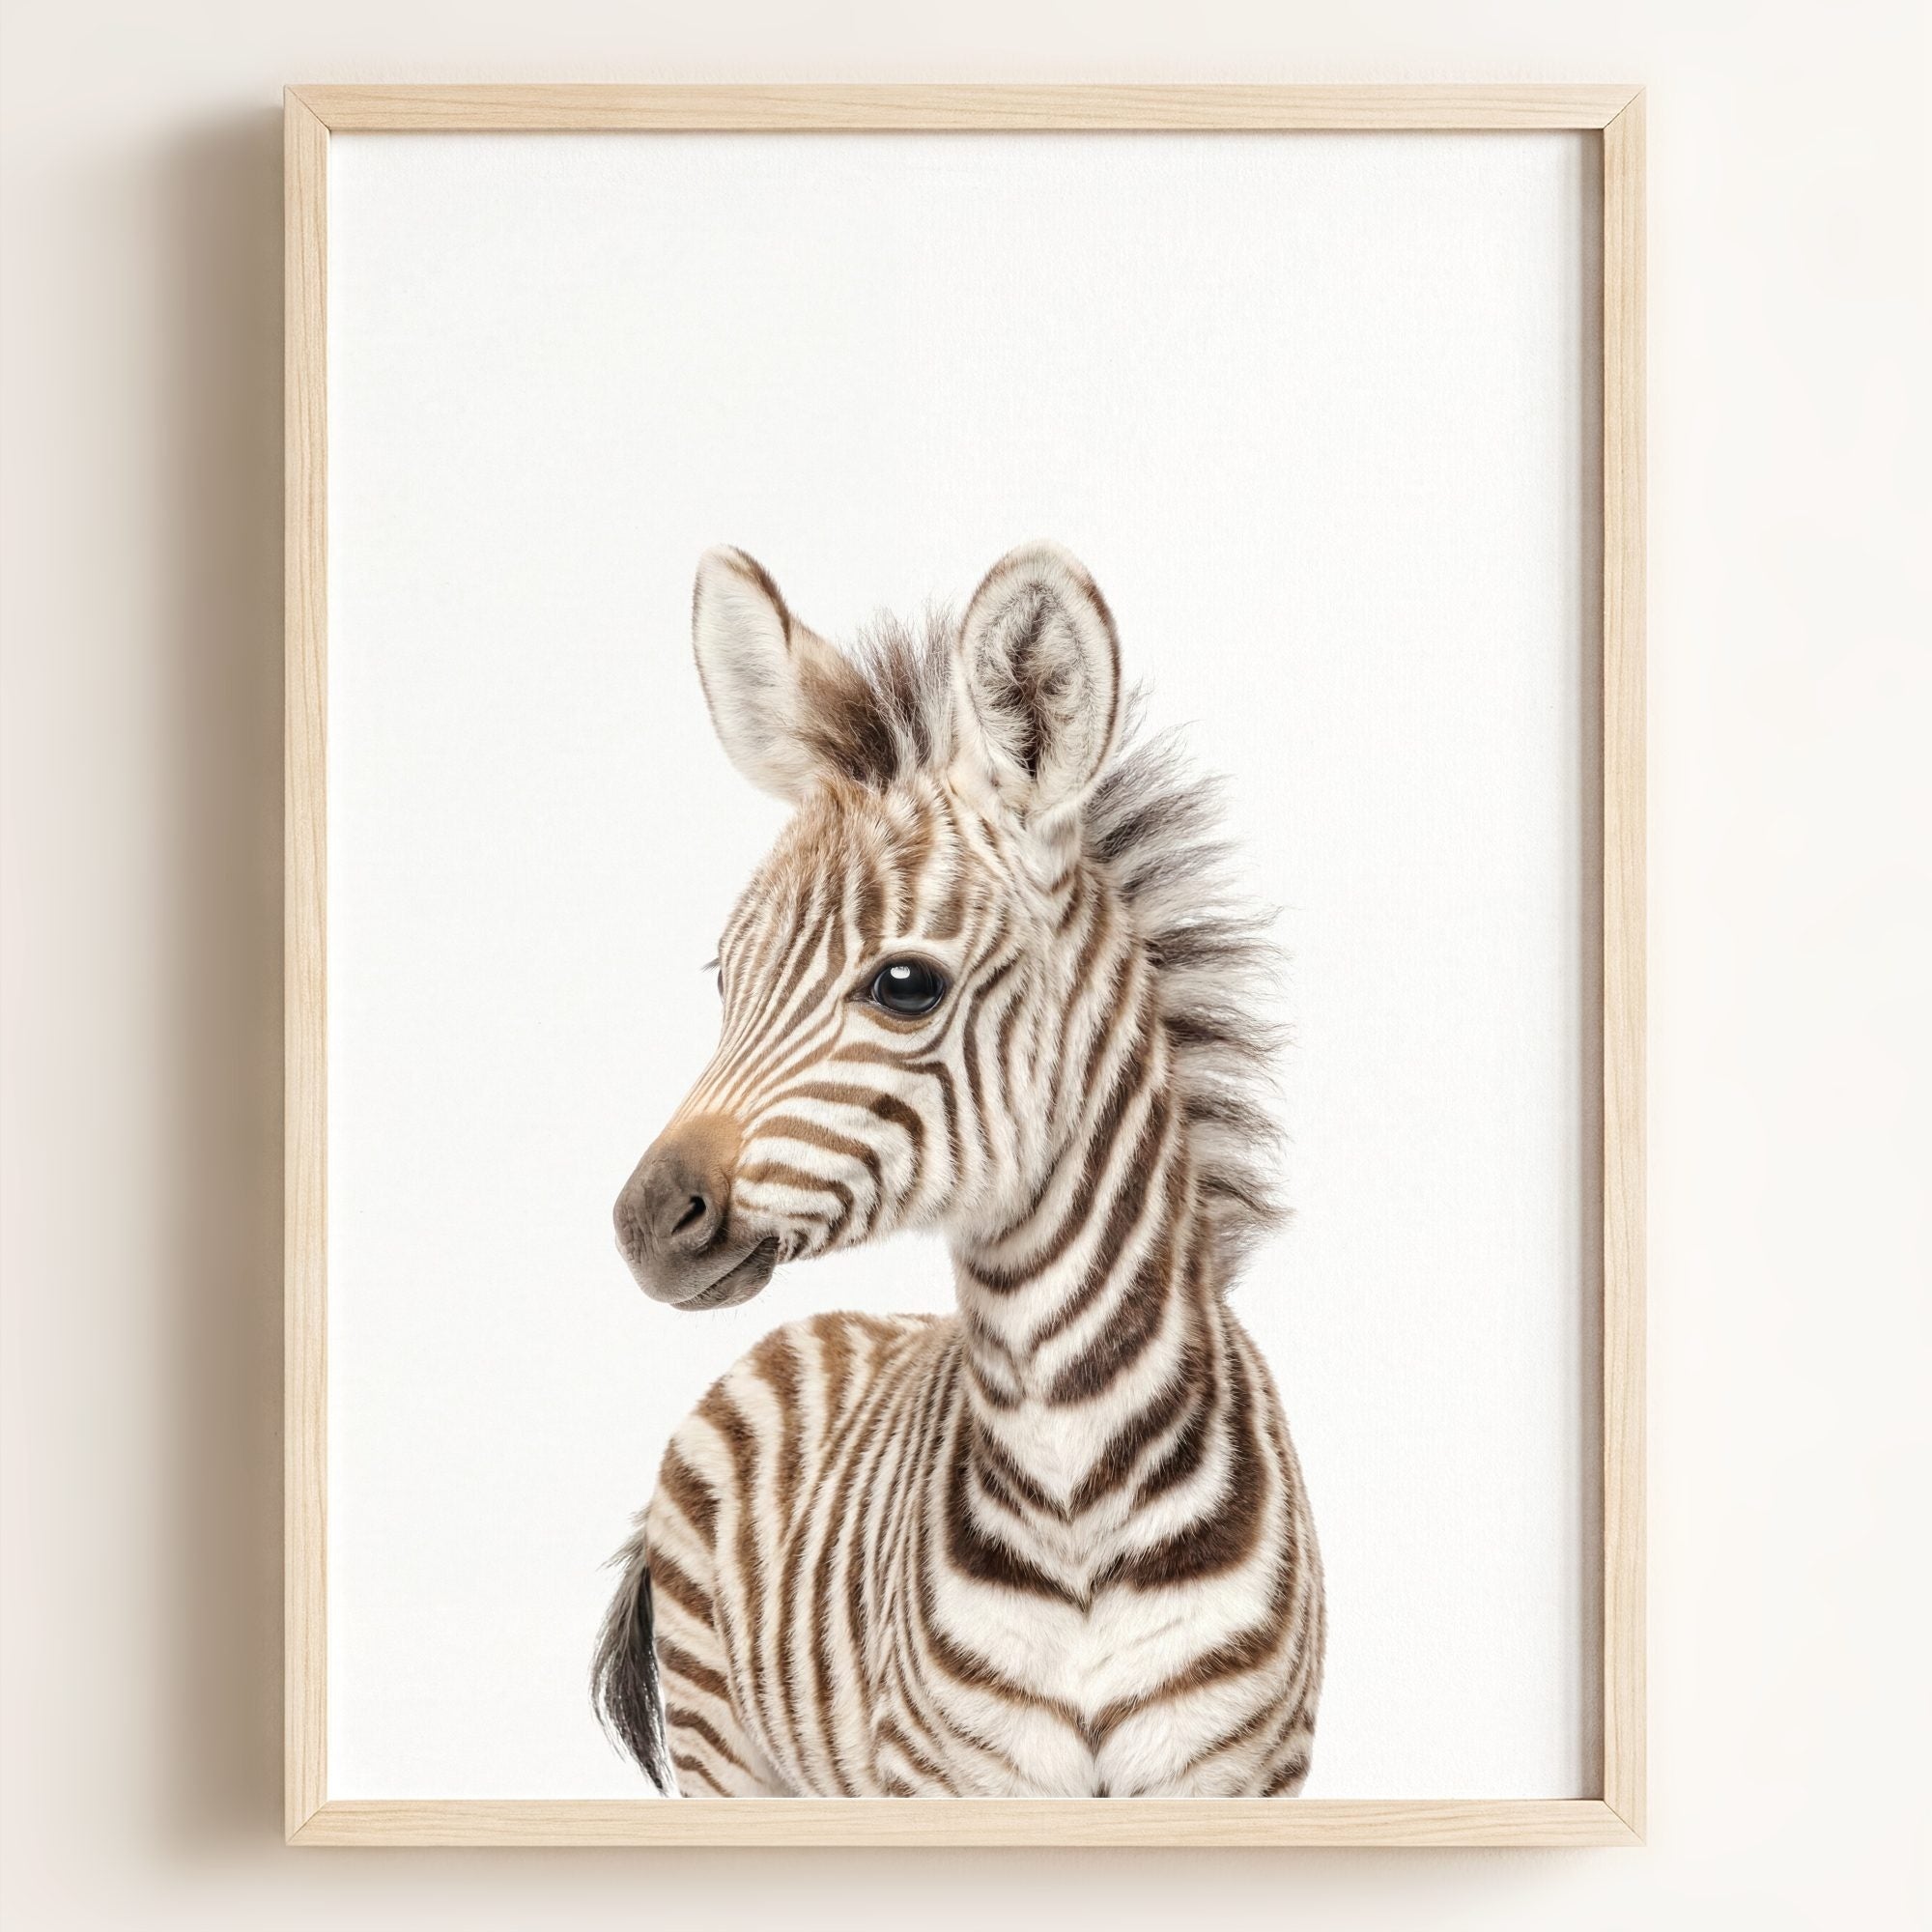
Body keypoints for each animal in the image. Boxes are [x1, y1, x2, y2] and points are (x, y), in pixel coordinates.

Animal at [593, 542, 1323, 1798]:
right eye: (725, 975)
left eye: (904, 985)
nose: (646, 1219)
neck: (1075, 1481)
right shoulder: (949, 1779)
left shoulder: (1236, 1776)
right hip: (725, 1748)